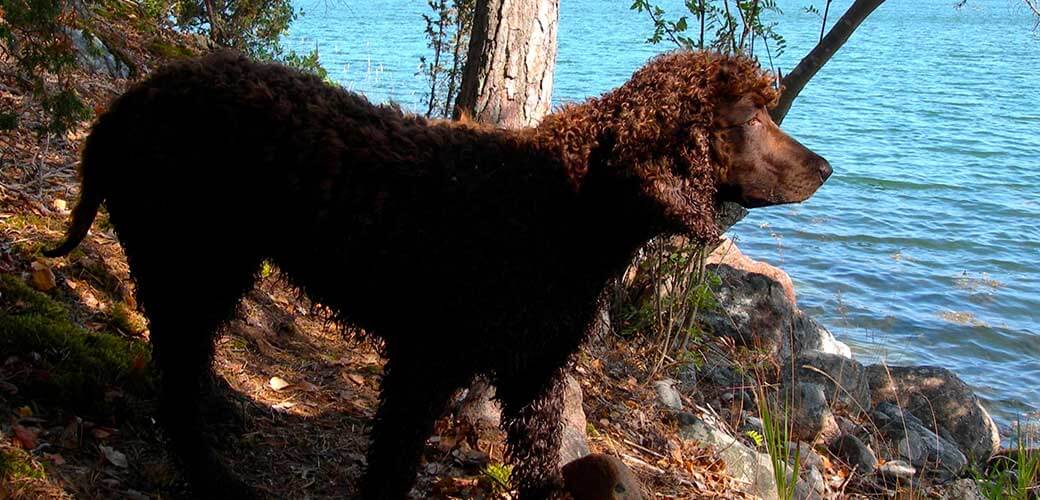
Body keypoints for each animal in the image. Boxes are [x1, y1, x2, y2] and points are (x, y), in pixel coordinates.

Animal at [46, 49, 827, 494]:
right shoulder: (426, 360)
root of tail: (127, 101)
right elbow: (392, 467)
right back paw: (214, 475)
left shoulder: (537, 373)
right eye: (752, 118)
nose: (825, 168)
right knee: (176, 382)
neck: (565, 203)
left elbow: (539, 467)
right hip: (189, 258)